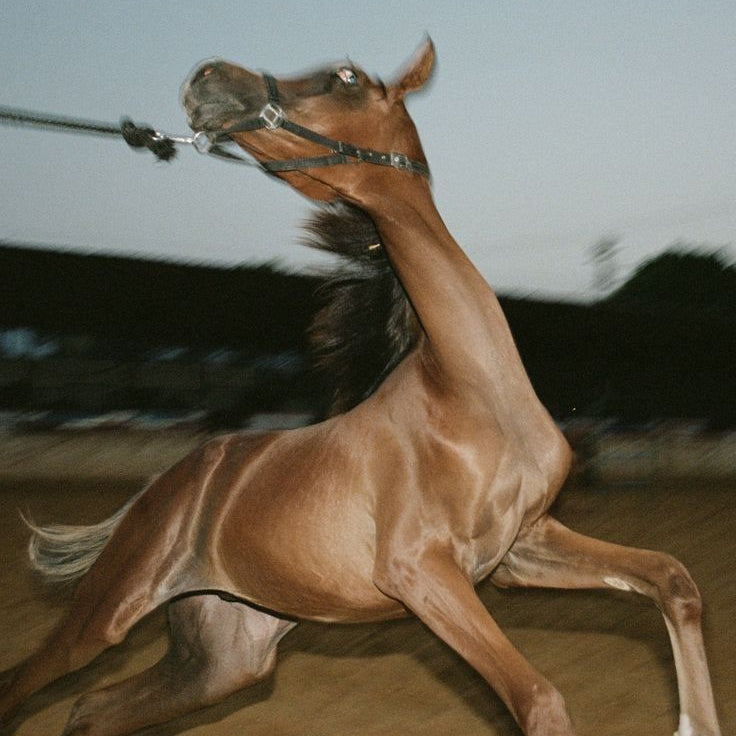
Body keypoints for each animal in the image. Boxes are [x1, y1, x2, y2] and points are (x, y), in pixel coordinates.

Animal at [0, 40, 721, 736]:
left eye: (345, 77)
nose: (207, 78)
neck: (474, 392)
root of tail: (162, 488)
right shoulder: (420, 573)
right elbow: (541, 700)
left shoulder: (521, 550)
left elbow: (673, 578)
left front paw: (693, 722)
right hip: (108, 616)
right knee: (29, 685)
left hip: (226, 656)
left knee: (92, 710)